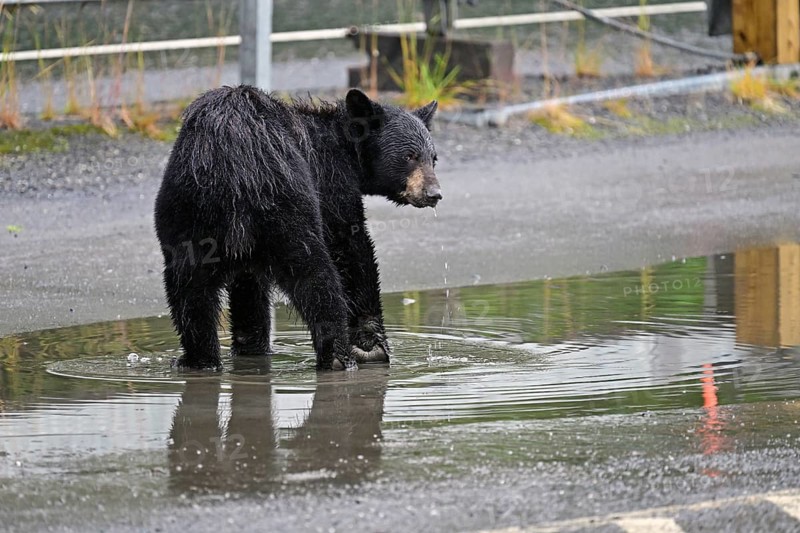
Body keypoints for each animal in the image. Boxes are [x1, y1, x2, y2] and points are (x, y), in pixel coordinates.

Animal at [154, 85, 441, 371]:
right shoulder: (330, 181)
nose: (434, 194)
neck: (344, 146)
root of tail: (233, 162)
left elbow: (249, 284)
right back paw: (337, 357)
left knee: (189, 290)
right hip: (287, 206)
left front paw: (252, 346)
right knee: (316, 276)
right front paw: (370, 345)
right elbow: (350, 245)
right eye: (409, 156)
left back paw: (199, 360)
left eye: (433, 159)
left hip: (187, 212)